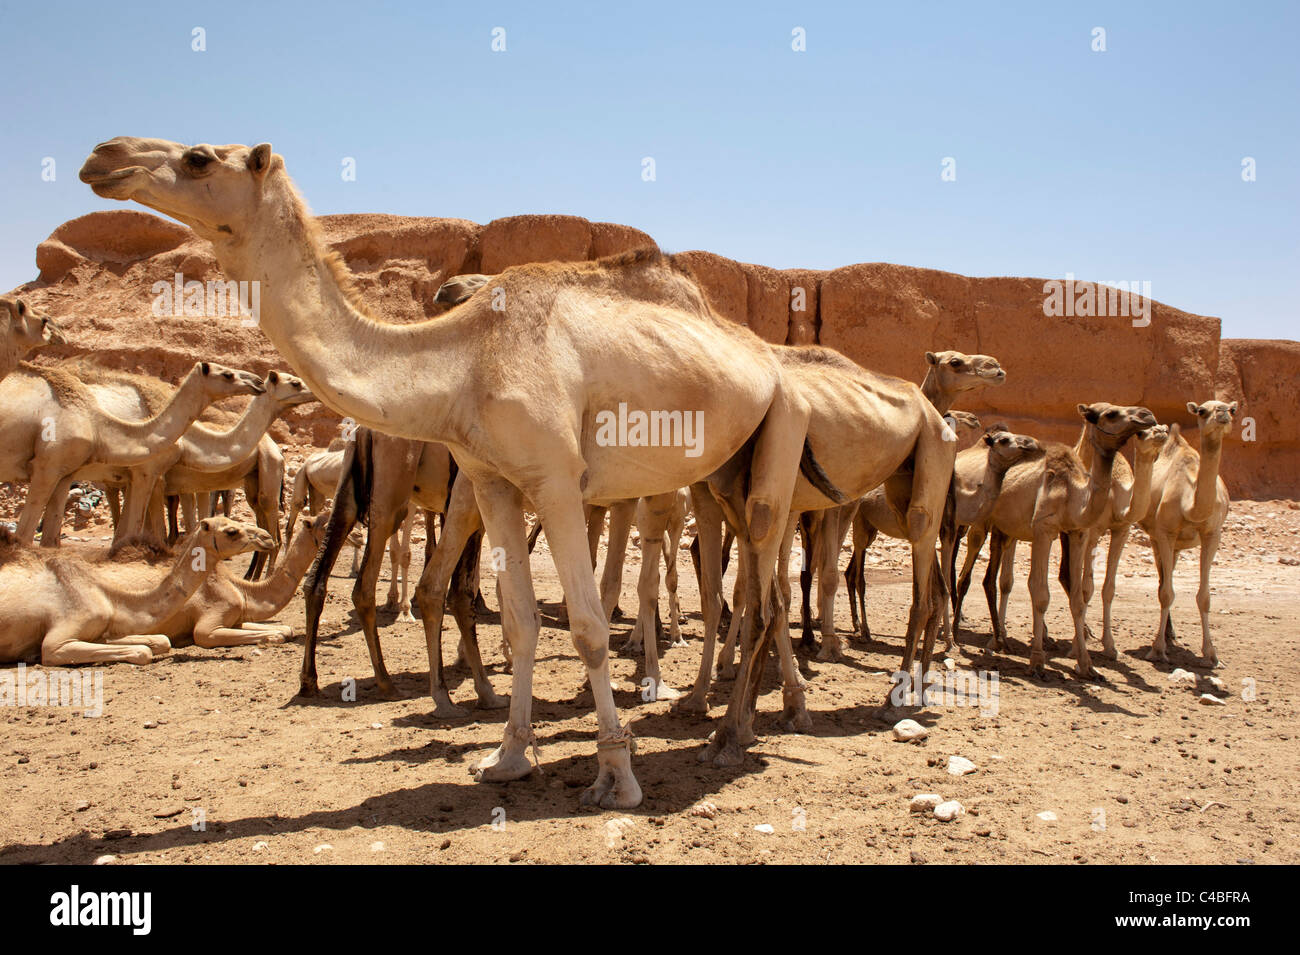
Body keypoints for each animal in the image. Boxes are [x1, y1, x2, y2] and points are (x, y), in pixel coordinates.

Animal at [81, 136, 849, 805]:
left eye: (198, 156)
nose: (102, 156)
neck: (463, 360)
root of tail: (769, 356)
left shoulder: (556, 481)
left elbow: (587, 625)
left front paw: (615, 776)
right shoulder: (492, 481)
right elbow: (517, 619)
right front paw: (507, 757)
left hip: (781, 424)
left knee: (765, 586)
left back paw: (736, 731)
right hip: (724, 470)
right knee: (757, 589)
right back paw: (737, 726)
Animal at [1139, 400, 1235, 667]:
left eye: (1232, 409)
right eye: (1202, 411)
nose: (1222, 413)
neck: (1191, 505)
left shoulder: (1213, 535)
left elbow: (1205, 596)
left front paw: (1211, 654)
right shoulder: (1165, 532)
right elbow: (1166, 593)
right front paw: (1157, 650)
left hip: (1178, 547)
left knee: (1167, 575)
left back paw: (1170, 634)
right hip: (1156, 538)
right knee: (1163, 581)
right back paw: (1165, 637)